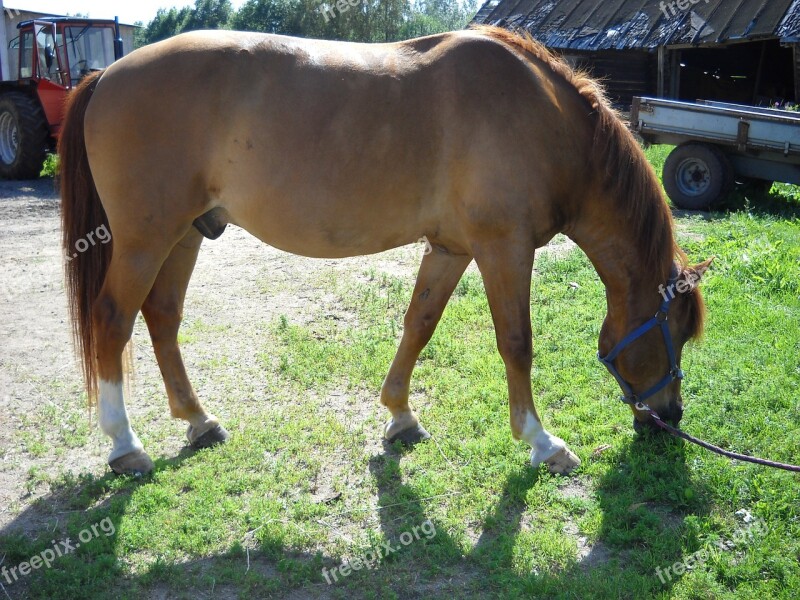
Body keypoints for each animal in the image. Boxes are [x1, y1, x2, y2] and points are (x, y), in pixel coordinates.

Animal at [59, 25, 708, 476]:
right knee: (113, 320)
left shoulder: (450, 248)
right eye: (675, 329)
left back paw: (198, 422)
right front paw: (542, 443)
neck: (542, 118)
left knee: (162, 318)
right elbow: (516, 343)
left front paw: (400, 415)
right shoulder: (504, 247)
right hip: (145, 239)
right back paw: (125, 446)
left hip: (188, 233)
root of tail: (108, 74)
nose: (670, 419)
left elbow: (419, 323)